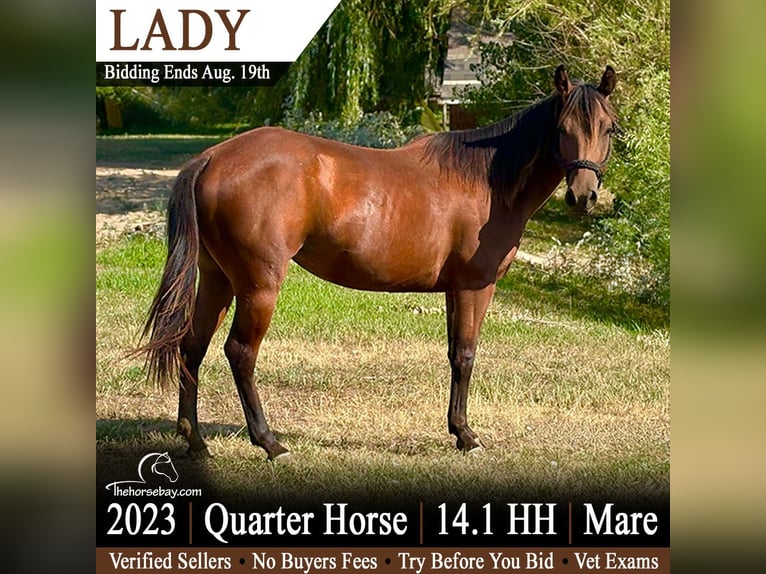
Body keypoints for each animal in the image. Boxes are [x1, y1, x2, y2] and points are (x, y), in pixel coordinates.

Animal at [138, 64, 618, 460]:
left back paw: (196, 442)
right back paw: (271, 444)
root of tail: (211, 158)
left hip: (217, 279)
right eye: (562, 127)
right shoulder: (475, 287)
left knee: (192, 347)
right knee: (240, 353)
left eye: (609, 128)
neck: (486, 180)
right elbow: (465, 356)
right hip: (258, 286)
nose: (584, 196)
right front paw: (467, 436)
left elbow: (453, 355)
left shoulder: (453, 290)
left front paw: (455, 429)